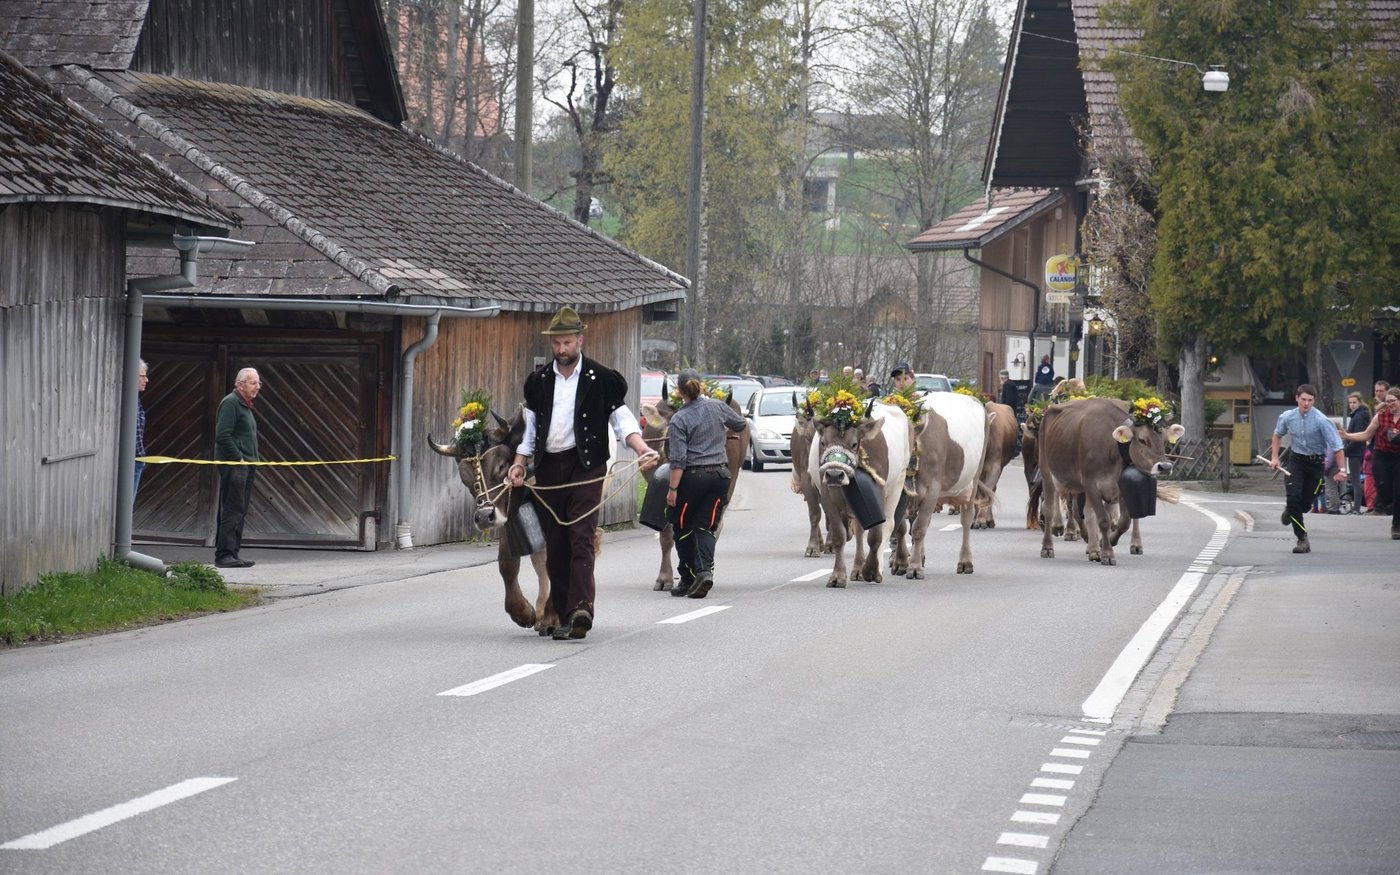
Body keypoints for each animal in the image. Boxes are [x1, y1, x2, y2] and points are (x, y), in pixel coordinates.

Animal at [429, 406, 555, 633]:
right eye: (465, 478)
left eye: (502, 466)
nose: (483, 516)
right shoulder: (508, 514)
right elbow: (507, 564)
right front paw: (523, 612)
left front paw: (553, 616)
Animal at [810, 401, 912, 587]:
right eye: (823, 443)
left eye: (854, 444)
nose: (834, 474)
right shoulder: (827, 496)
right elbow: (839, 536)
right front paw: (837, 576)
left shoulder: (878, 493)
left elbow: (875, 536)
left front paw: (871, 570)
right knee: (858, 531)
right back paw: (857, 569)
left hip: (897, 485)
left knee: (889, 525)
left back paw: (878, 568)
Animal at [891, 391, 990, 577]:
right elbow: (901, 527)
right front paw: (900, 563)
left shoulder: (932, 489)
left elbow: (918, 528)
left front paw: (914, 567)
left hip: (973, 480)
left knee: (966, 518)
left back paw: (965, 561)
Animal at [1036, 396, 1185, 565]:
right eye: (1142, 440)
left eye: (1165, 440)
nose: (1165, 467)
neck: (1111, 446)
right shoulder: (1091, 483)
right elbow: (1103, 520)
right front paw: (1107, 553)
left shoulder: (1119, 488)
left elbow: (1124, 522)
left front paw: (1106, 544)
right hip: (1047, 472)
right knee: (1049, 509)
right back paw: (1048, 547)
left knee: (1085, 511)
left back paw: (1095, 547)